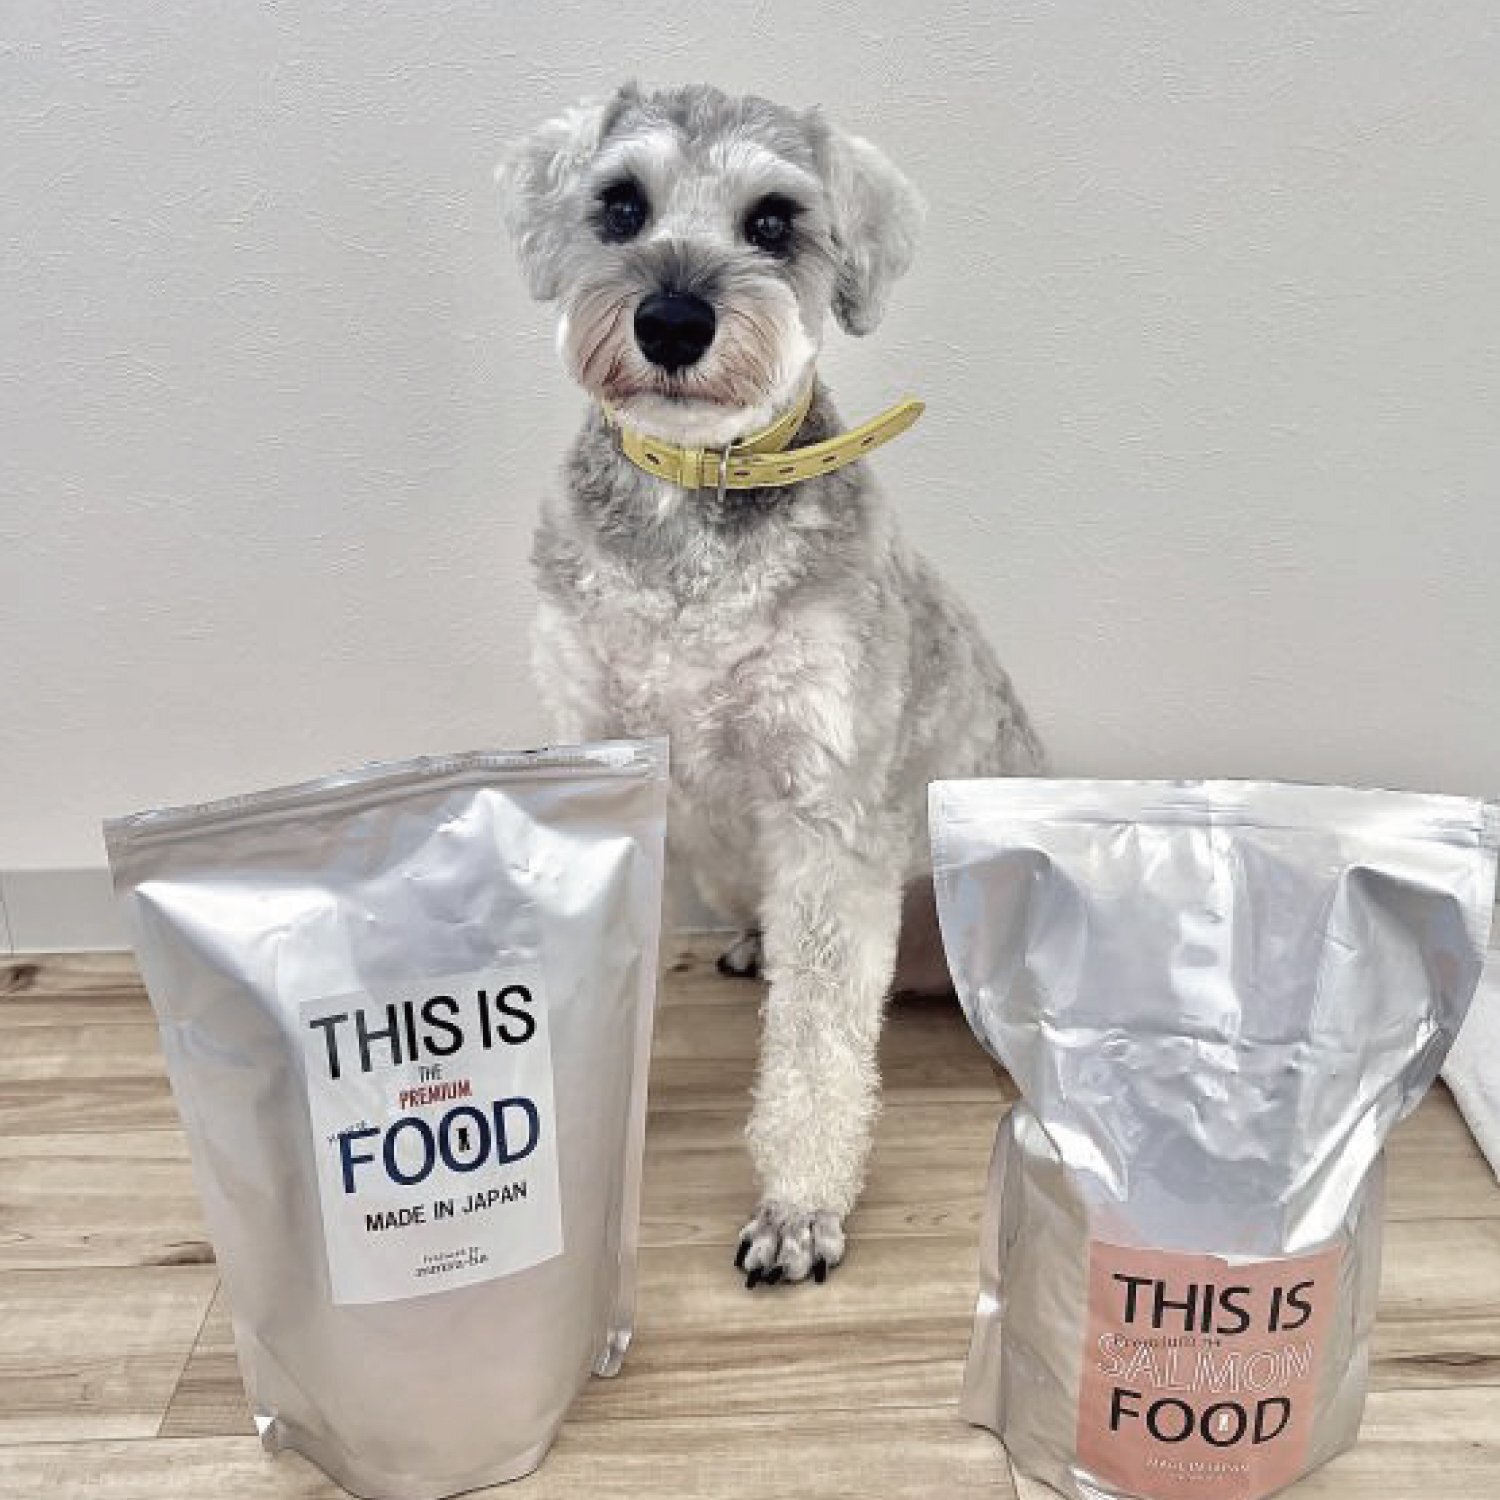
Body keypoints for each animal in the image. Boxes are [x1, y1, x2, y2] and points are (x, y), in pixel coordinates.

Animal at [499, 83, 1043, 1287]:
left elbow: (817, 1049)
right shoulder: (603, 756)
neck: (693, 496)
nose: (672, 321)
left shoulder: (823, 811)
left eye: (775, 222)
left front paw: (798, 1210)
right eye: (620, 204)